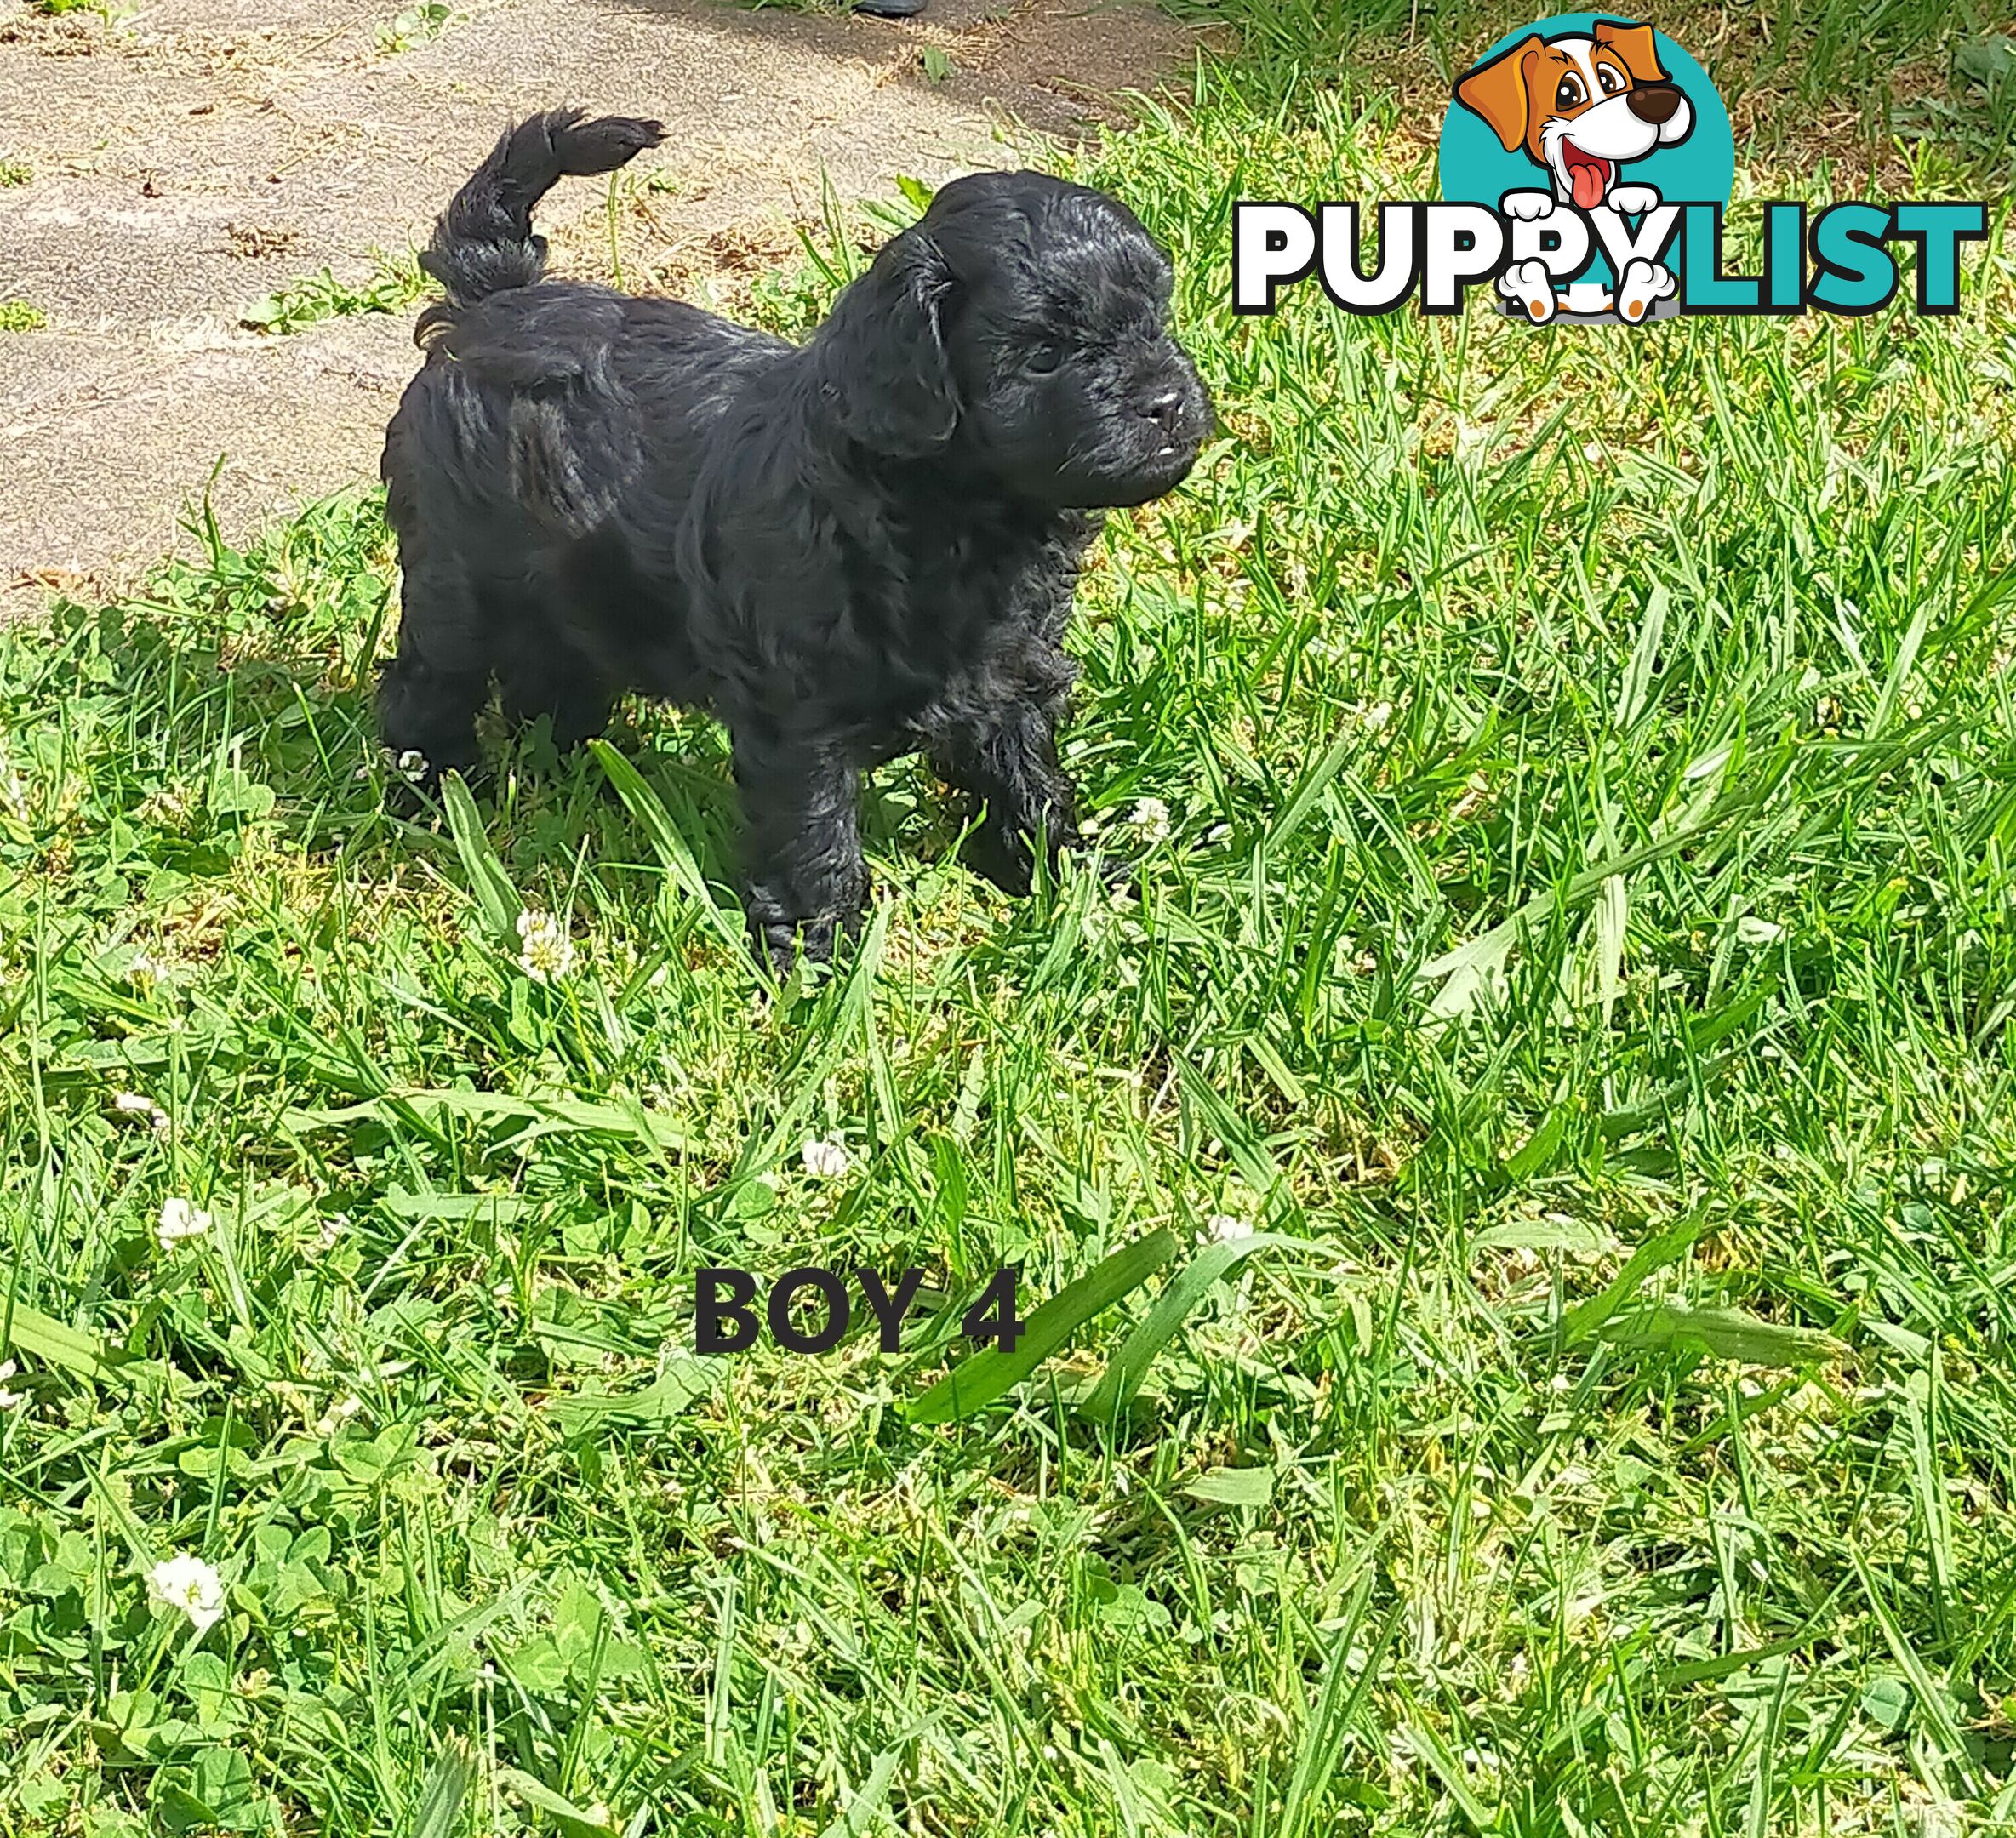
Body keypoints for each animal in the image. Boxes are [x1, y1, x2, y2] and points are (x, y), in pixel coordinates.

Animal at [379, 111, 1209, 975]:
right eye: (1045, 352)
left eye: (1155, 324)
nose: (1167, 401)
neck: (944, 510)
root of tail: (492, 300)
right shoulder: (796, 711)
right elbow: (814, 830)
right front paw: (819, 947)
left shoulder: (1004, 675)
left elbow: (1029, 776)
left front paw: (1074, 878)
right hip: (458, 578)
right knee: (427, 686)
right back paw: (433, 792)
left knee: (554, 676)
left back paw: (589, 775)